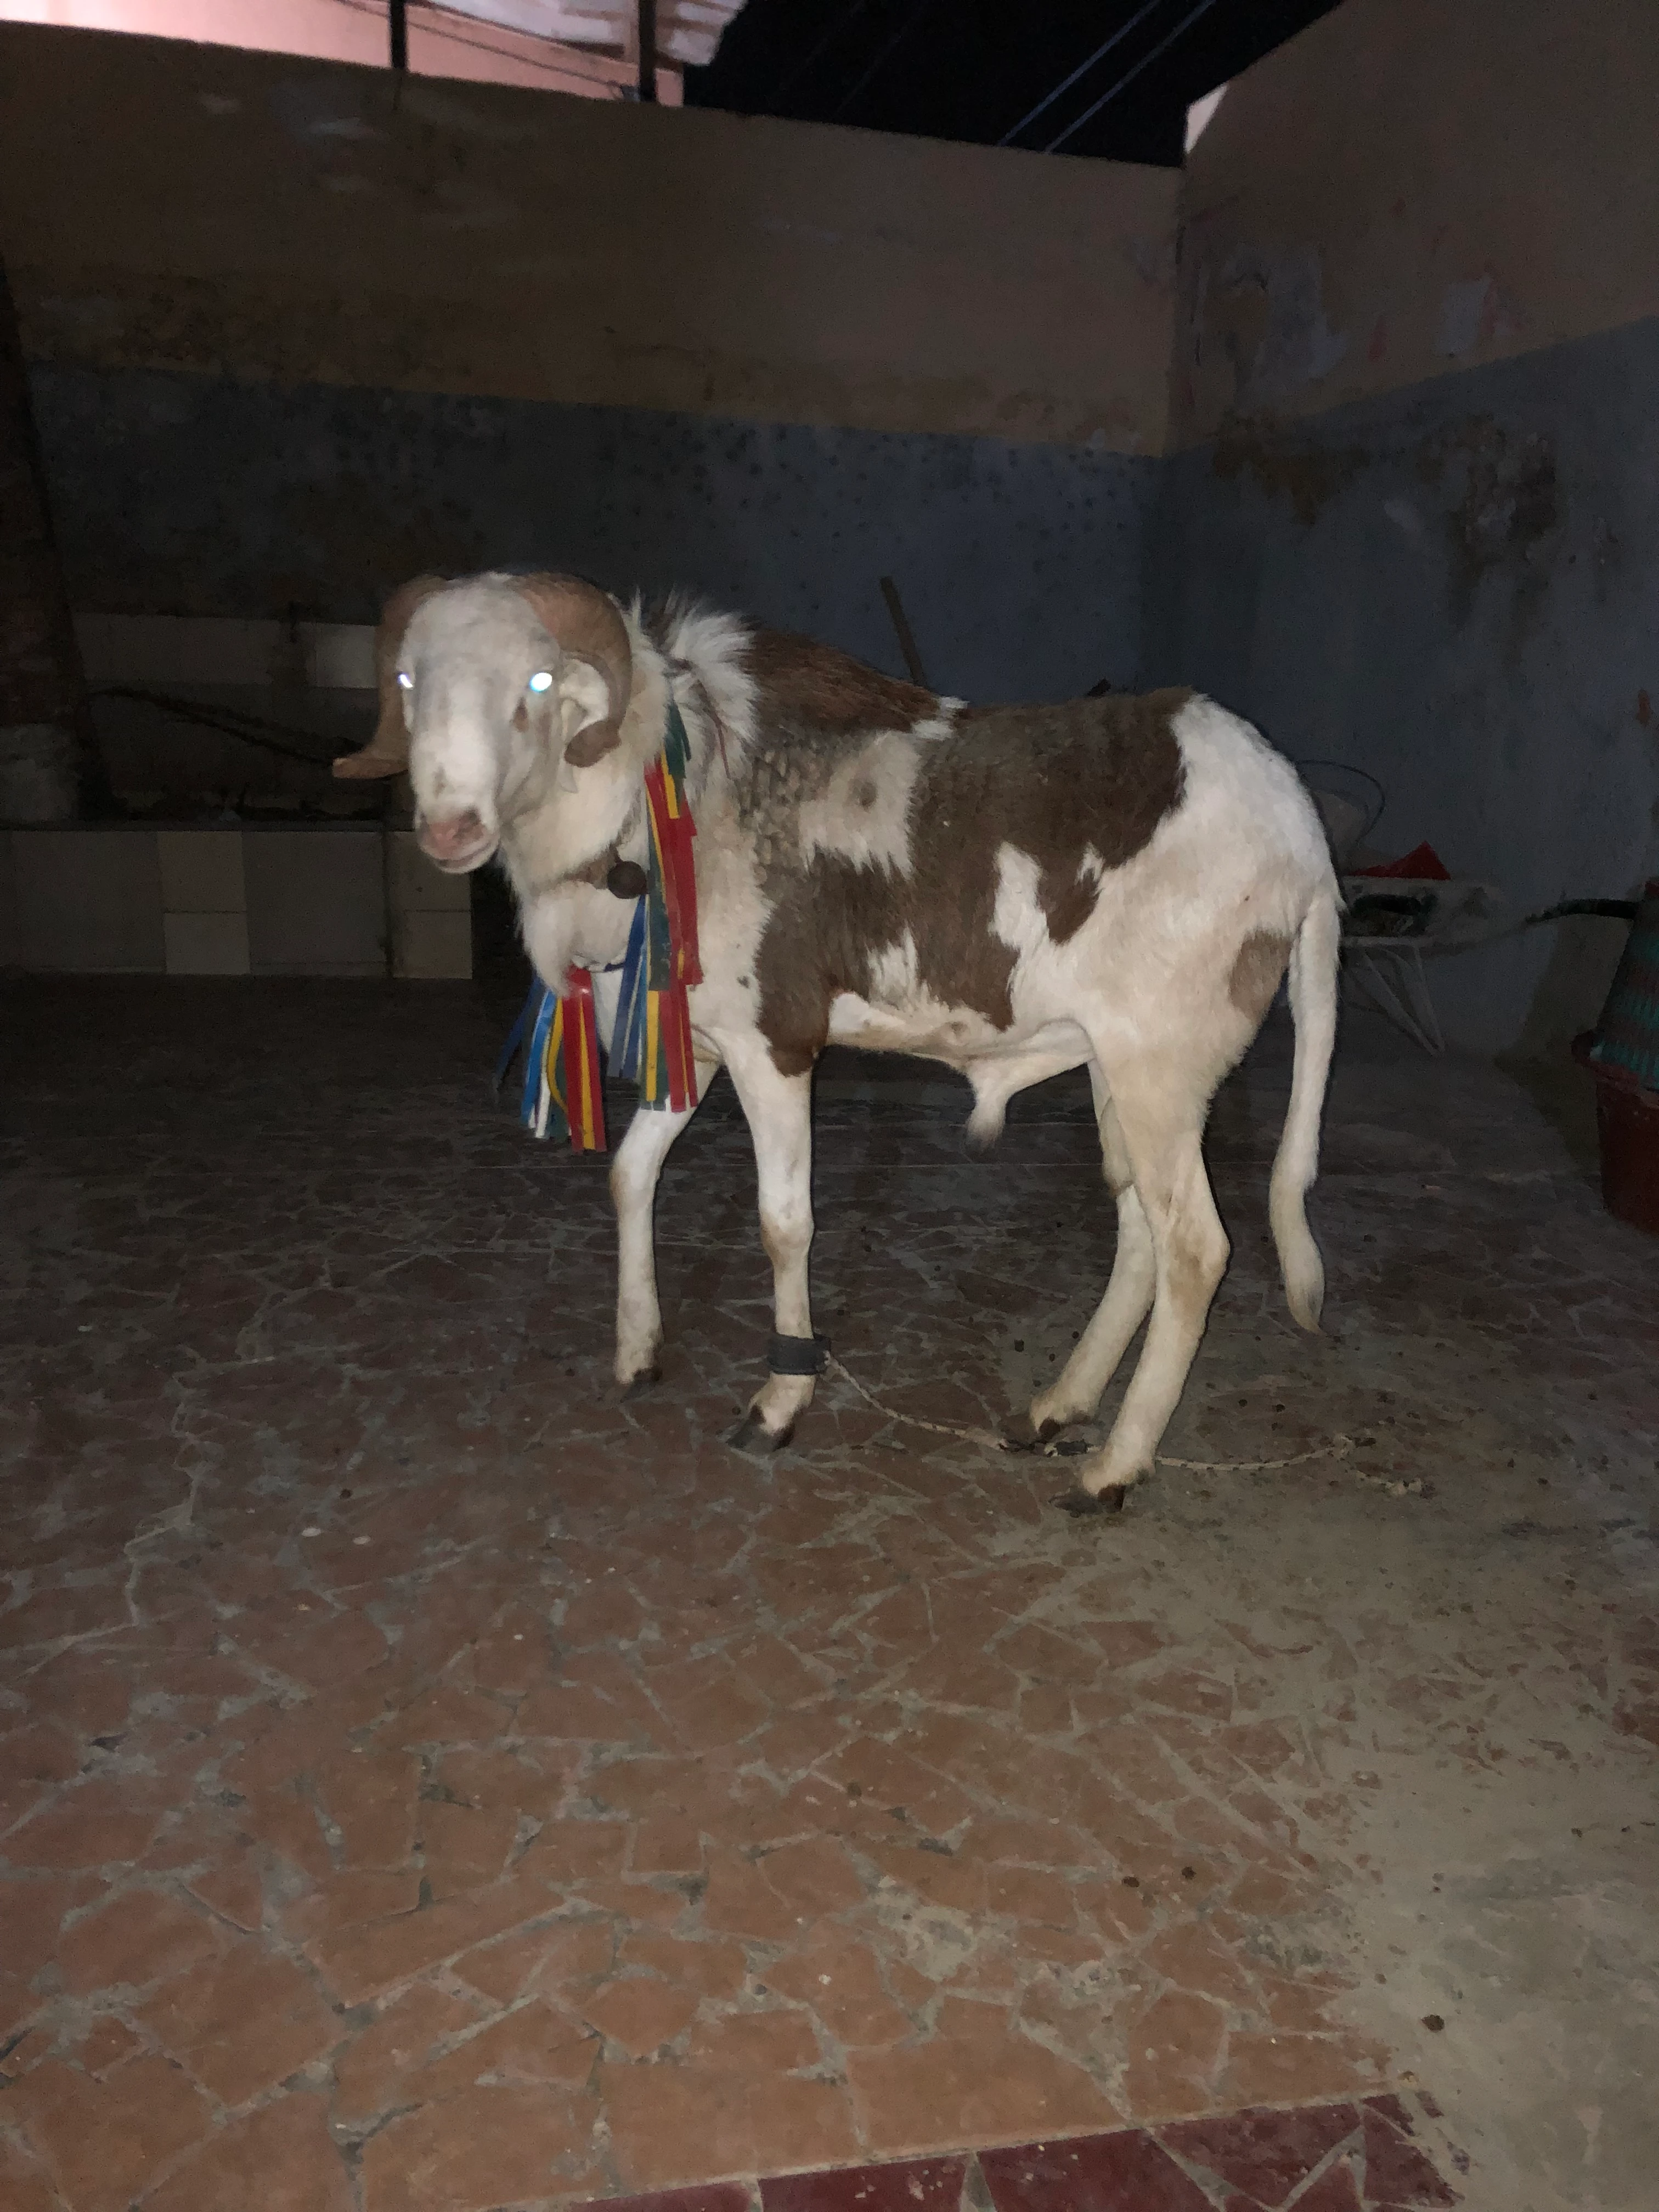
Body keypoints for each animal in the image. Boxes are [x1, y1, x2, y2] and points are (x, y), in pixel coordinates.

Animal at [336, 570, 1340, 1514]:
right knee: (1138, 1234)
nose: (449, 827)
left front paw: (778, 1403)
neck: (667, 800)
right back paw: (1057, 1407)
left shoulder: (771, 1047)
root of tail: (1302, 841)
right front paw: (637, 1349)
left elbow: (784, 1225)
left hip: (1162, 1068)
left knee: (1194, 1252)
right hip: (1117, 1070)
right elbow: (630, 1174)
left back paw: (1110, 1470)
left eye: (537, 680)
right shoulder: (697, 1048)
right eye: (407, 678)